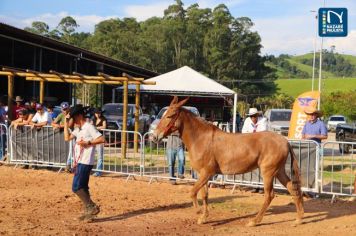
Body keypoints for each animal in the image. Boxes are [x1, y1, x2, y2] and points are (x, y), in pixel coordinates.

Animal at [152, 96, 304, 227]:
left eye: (170, 116)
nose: (154, 137)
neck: (201, 139)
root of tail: (285, 141)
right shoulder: (203, 175)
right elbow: (204, 195)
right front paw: (204, 217)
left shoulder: (207, 173)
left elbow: (193, 192)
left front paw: (198, 212)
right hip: (279, 171)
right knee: (292, 188)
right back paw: (298, 219)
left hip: (268, 172)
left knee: (269, 195)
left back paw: (254, 221)